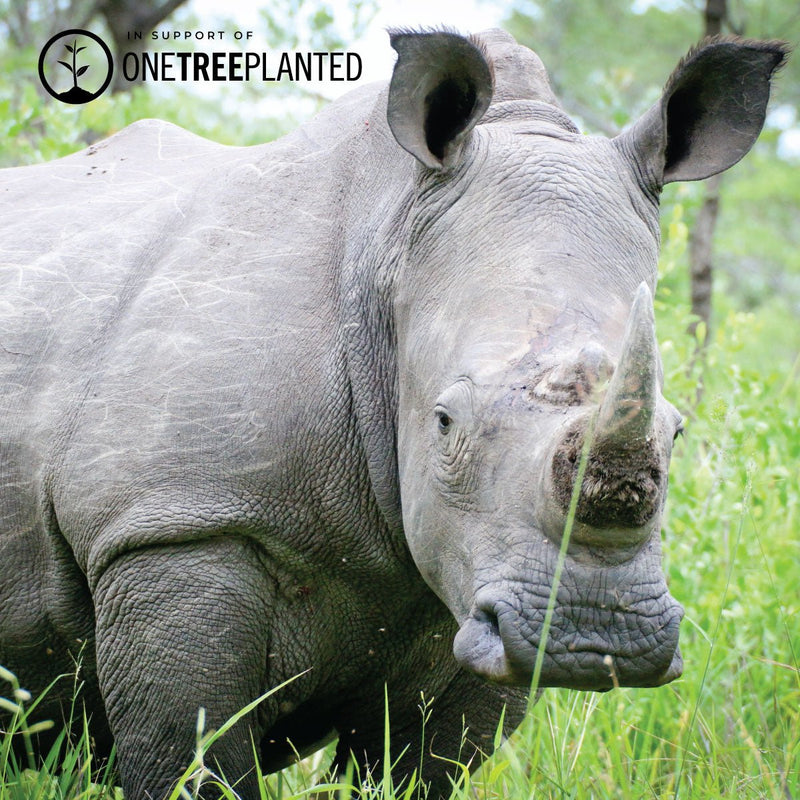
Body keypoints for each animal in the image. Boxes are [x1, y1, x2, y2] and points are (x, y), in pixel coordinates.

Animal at [0, 27, 787, 799]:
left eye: (676, 431)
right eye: (444, 423)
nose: (595, 638)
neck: (388, 240)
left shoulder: (477, 598)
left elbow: (421, 765)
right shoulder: (176, 519)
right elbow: (195, 761)